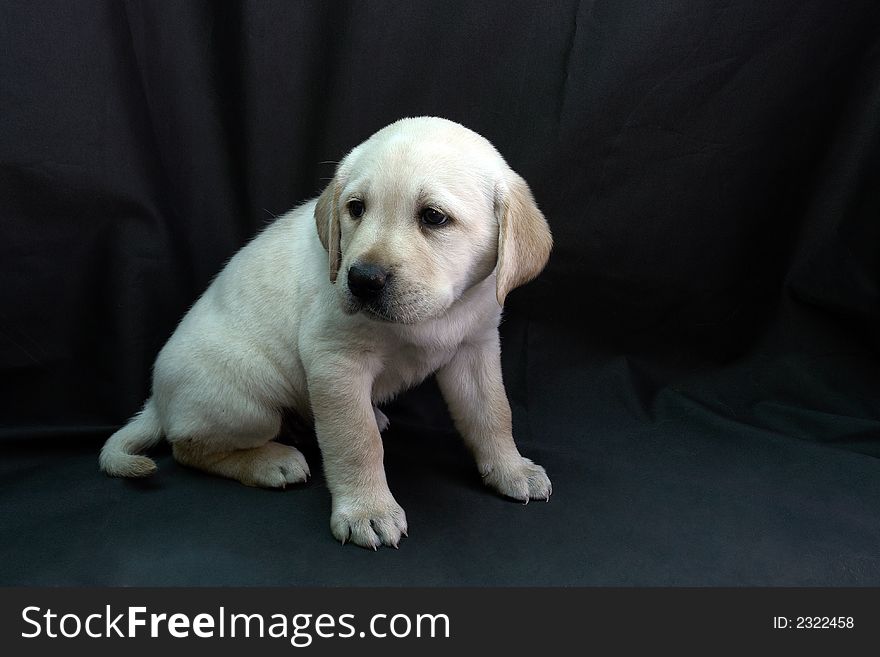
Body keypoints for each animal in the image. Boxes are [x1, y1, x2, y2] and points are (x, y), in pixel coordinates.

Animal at [101, 116, 552, 548]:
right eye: (356, 208)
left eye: (434, 217)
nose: (362, 280)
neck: (439, 315)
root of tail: (158, 401)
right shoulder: (336, 362)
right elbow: (356, 441)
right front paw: (367, 510)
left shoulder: (475, 347)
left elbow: (493, 413)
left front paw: (511, 469)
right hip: (247, 403)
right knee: (189, 447)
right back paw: (270, 461)